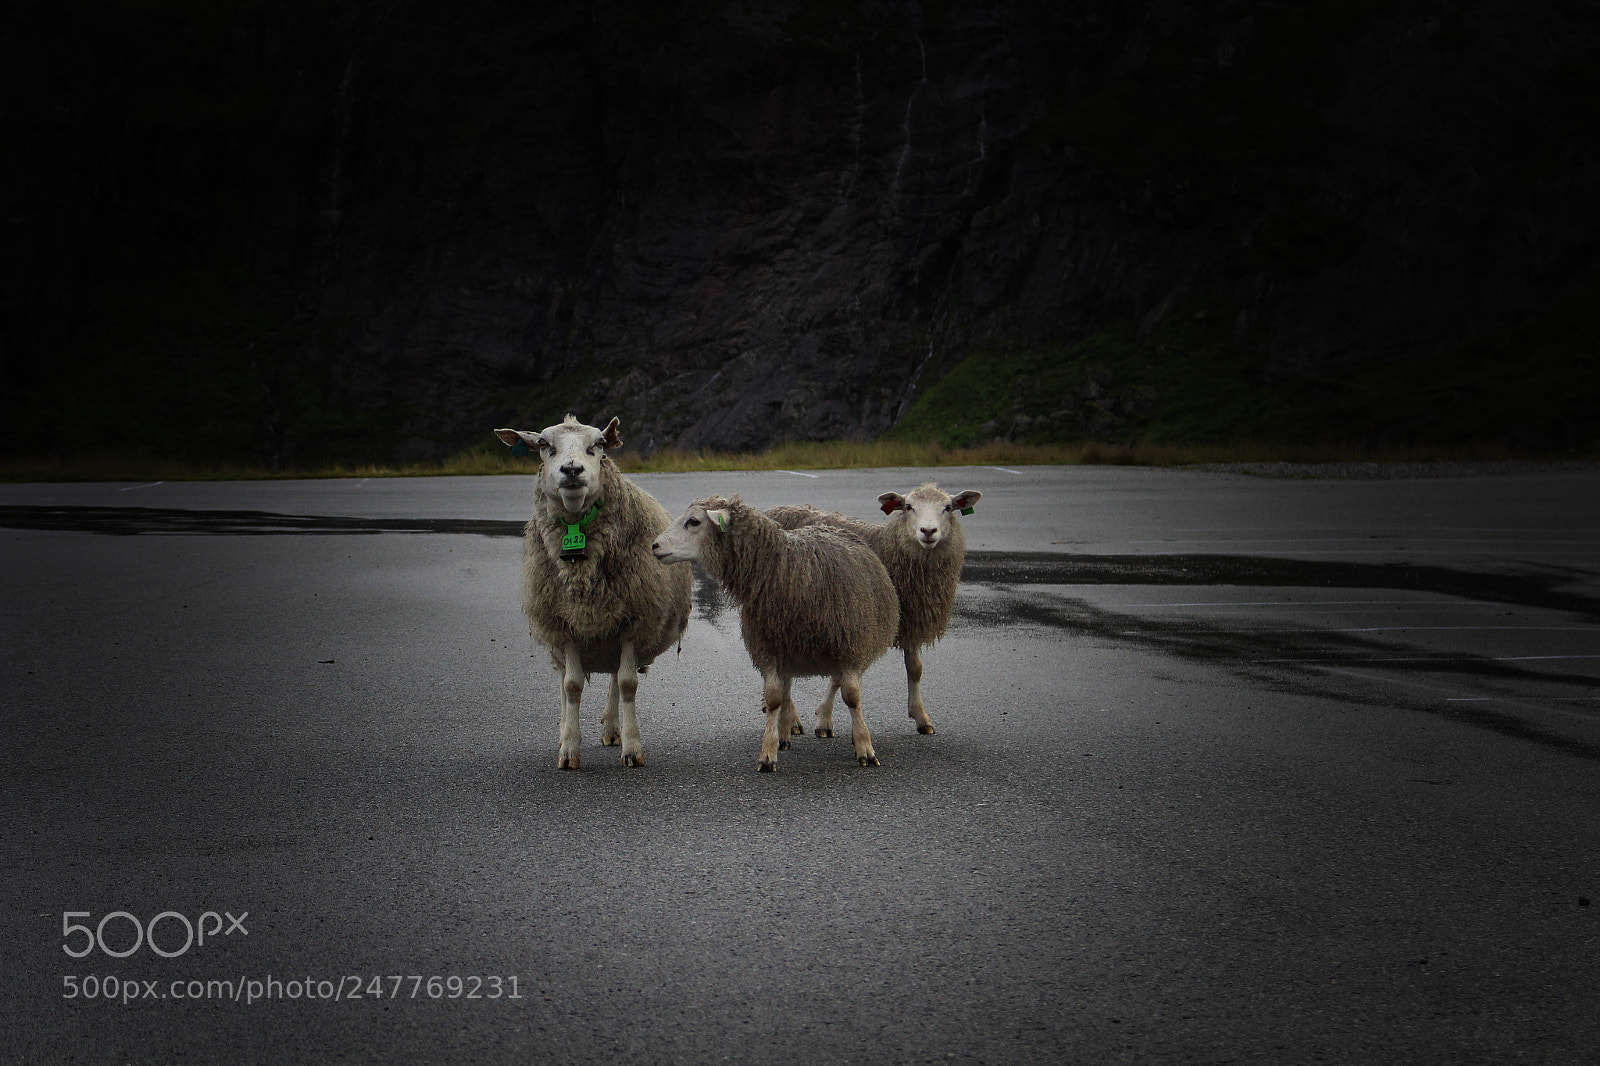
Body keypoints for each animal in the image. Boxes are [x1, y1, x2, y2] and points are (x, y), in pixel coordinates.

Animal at [494, 415, 692, 769]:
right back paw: (564, 731)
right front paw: (569, 749)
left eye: (598, 444)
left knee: (614, 678)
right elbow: (572, 686)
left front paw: (632, 747)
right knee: (563, 682)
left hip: (614, 635)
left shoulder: (632, 622)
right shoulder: (564, 624)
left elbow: (627, 684)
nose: (572, 470)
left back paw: (613, 729)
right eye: (543, 444)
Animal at [651, 494, 898, 772]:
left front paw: (865, 747)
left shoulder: (852, 646)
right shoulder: (768, 646)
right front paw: (768, 752)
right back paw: (785, 730)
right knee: (788, 689)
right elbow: (773, 698)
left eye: (693, 521)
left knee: (833, 682)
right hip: (788, 645)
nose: (654, 545)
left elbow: (852, 697)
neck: (785, 569)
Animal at [767, 482, 982, 736]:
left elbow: (915, 669)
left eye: (948, 507)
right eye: (908, 507)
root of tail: (776, 509)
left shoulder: (908, 621)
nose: (928, 531)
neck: (888, 548)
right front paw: (824, 719)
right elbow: (839, 677)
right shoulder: (856, 623)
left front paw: (921, 717)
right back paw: (790, 719)